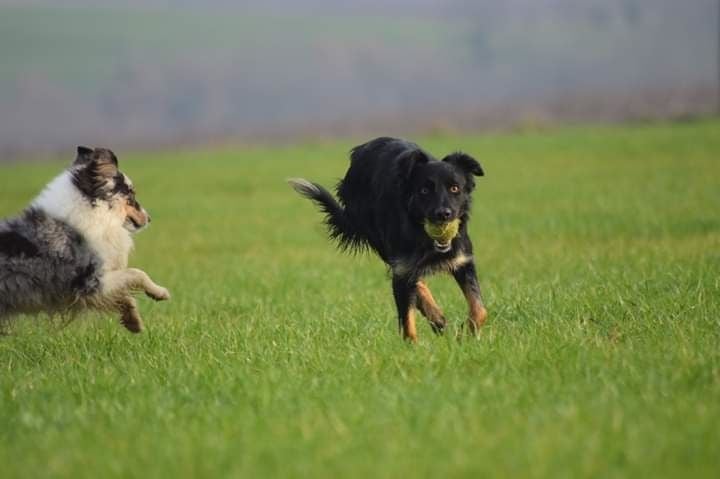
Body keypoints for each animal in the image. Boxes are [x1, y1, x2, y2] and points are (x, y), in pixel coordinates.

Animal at [0, 146, 169, 334]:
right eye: (131, 195)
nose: (150, 219)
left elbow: (125, 292)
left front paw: (132, 320)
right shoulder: (90, 282)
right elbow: (136, 273)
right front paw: (159, 292)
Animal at [292, 137, 490, 344]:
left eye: (455, 188)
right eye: (424, 190)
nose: (443, 214)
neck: (423, 235)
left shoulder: (462, 260)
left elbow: (480, 309)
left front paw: (467, 334)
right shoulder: (403, 266)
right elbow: (407, 320)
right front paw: (413, 346)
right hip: (383, 244)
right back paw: (435, 315)